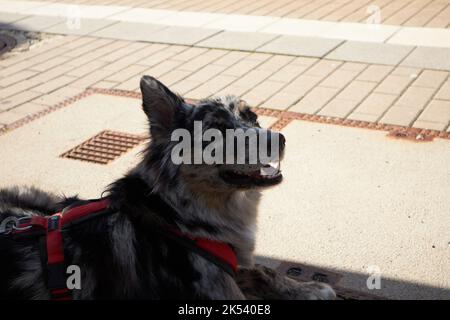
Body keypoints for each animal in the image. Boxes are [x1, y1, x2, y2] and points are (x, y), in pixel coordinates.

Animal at [0, 75, 334, 300]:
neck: (178, 217)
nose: (279, 139)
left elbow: (263, 269)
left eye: (251, 116)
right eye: (216, 132)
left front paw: (307, 288)